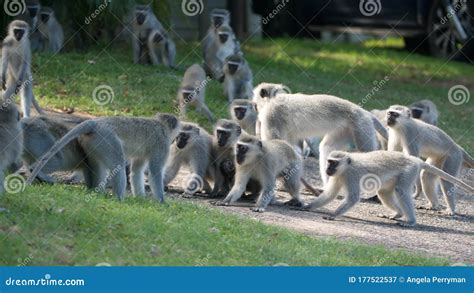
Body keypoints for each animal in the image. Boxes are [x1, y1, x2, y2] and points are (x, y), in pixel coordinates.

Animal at [306, 151, 472, 226]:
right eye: (329, 161)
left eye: (333, 163)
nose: (327, 169)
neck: (345, 168)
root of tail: (414, 159)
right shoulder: (338, 176)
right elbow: (330, 194)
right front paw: (307, 206)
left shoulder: (352, 175)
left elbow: (352, 198)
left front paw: (333, 215)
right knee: (384, 192)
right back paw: (398, 214)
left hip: (409, 171)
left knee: (401, 191)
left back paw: (411, 221)